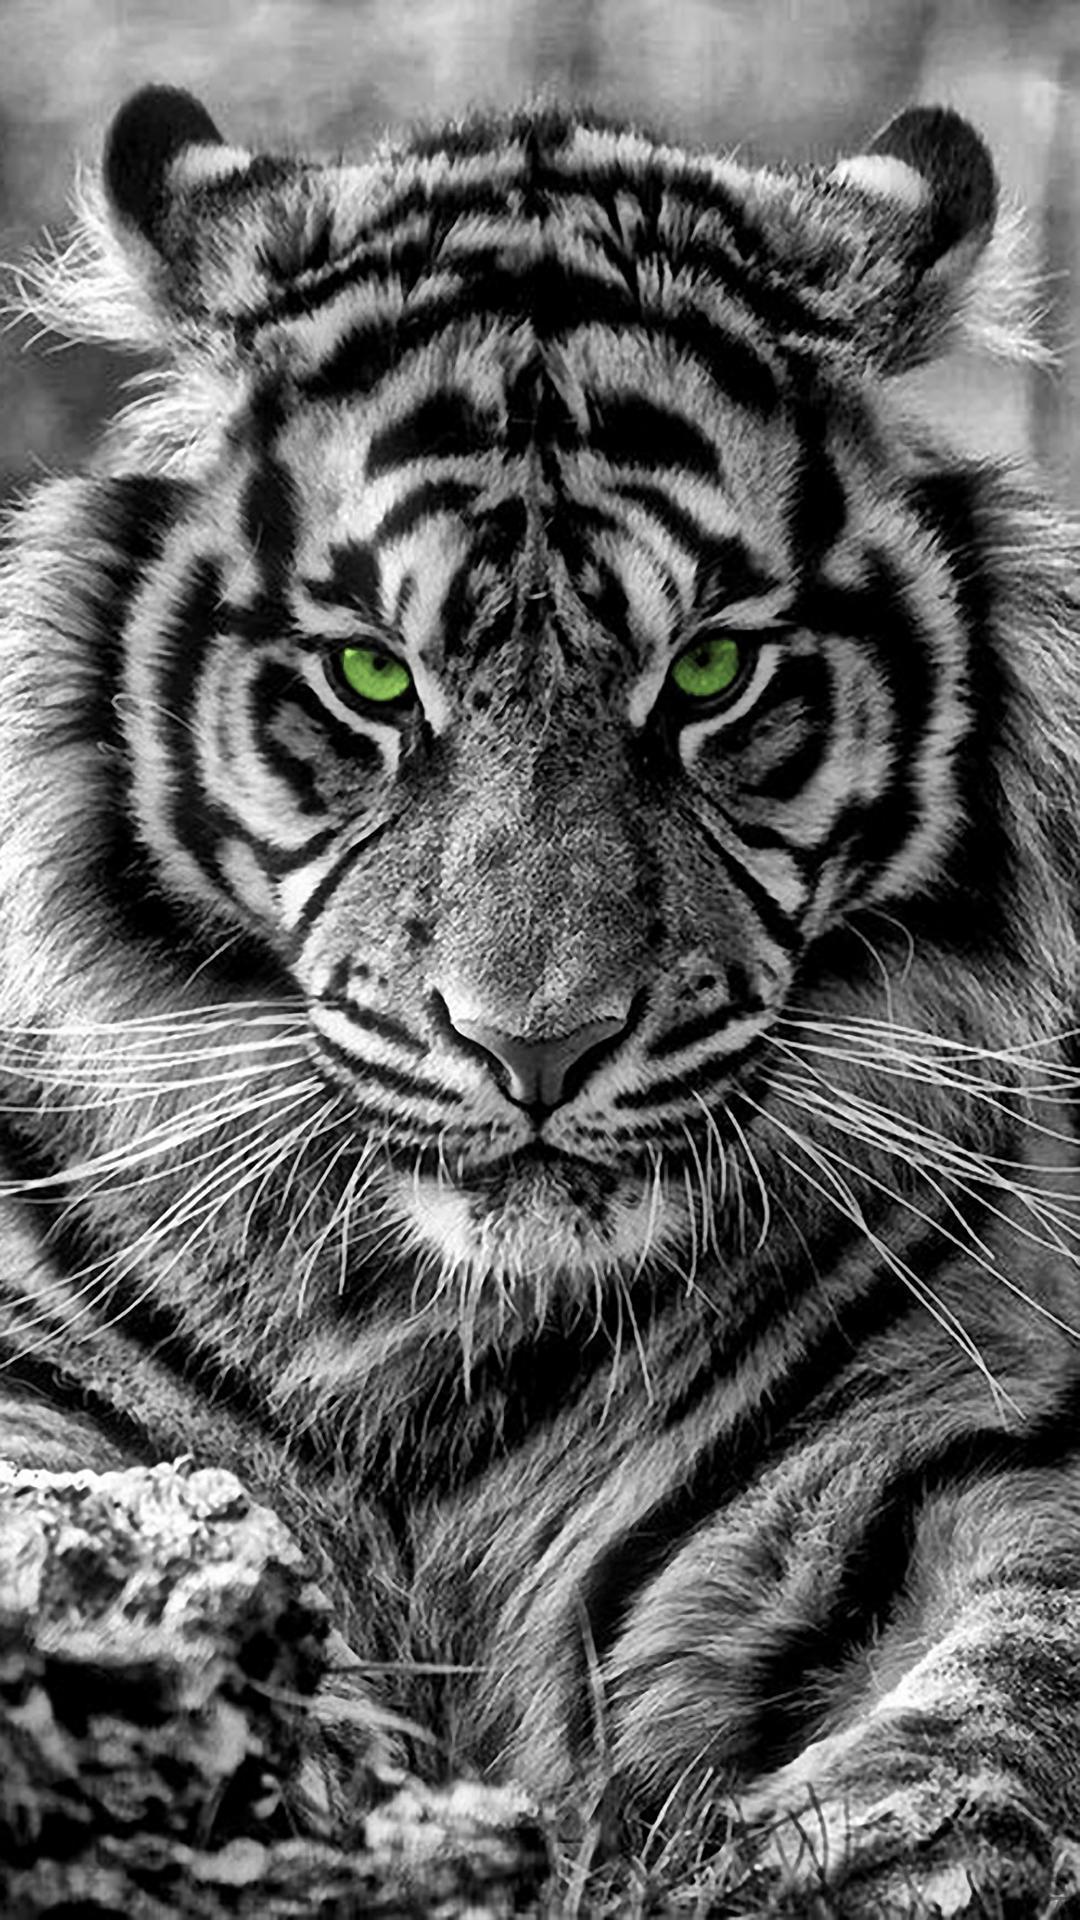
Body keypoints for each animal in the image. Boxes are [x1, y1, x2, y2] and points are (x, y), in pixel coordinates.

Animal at [1, 79, 1080, 1915]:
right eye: (371, 678)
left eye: (711, 673)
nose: (537, 1048)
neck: (445, 1345)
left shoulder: (961, 1431)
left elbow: (1017, 1675)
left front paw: (869, 1857)